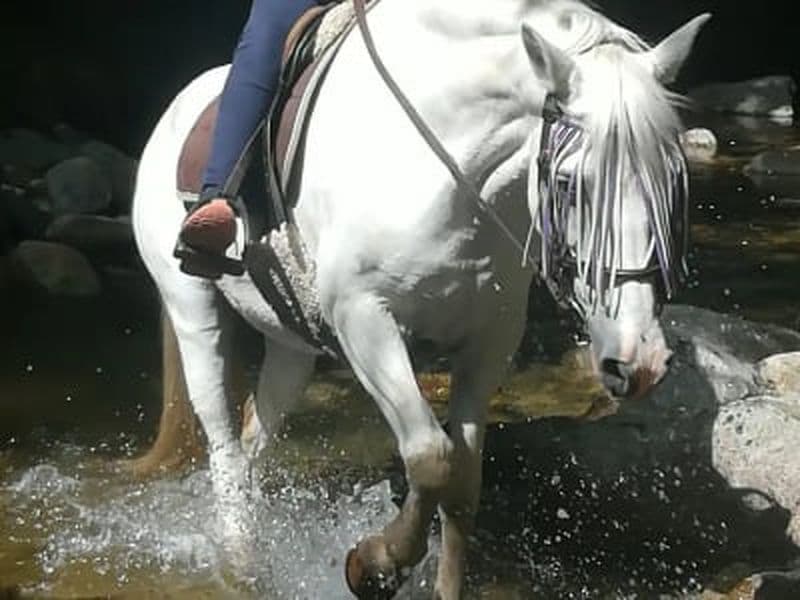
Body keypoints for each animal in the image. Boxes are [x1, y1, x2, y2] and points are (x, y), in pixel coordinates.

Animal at [131, 0, 708, 596]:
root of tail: (175, 111)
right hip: (194, 309)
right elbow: (432, 458)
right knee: (222, 442)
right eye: (570, 183)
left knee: (253, 435)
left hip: (292, 344)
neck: (451, 175)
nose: (638, 360)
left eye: (675, 180)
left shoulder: (491, 338)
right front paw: (372, 563)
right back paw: (242, 563)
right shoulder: (366, 321)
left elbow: (464, 478)